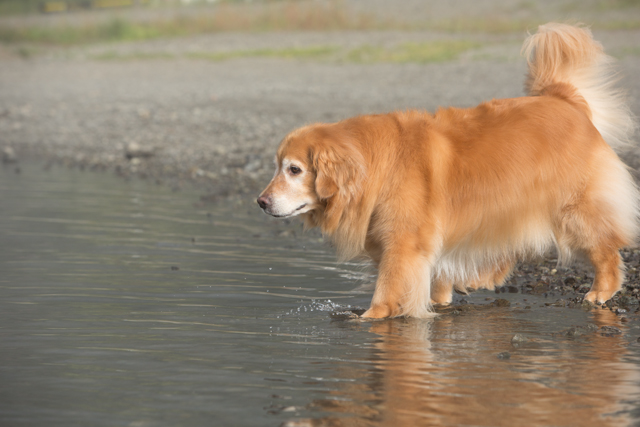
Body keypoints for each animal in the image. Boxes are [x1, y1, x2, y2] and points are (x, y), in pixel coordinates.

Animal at [258, 22, 636, 318]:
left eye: (294, 169)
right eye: (278, 166)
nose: (261, 202)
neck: (375, 166)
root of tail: (564, 98)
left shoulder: (404, 243)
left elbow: (389, 288)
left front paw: (372, 317)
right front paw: (438, 300)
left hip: (573, 209)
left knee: (605, 248)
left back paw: (601, 290)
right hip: (507, 205)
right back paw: (480, 279)